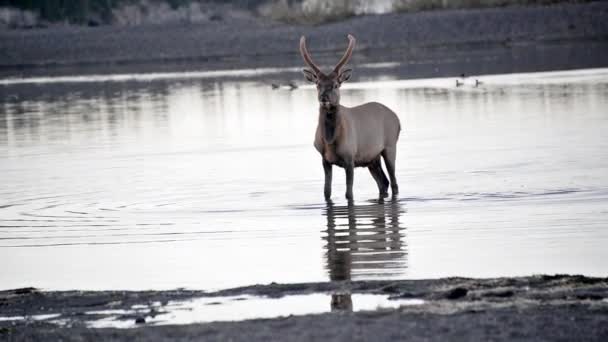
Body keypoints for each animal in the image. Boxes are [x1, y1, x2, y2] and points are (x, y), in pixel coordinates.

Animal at [298, 34, 400, 200]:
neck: (330, 141)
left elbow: (349, 193)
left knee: (394, 182)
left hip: (390, 146)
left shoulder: (350, 157)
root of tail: (397, 119)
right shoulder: (325, 159)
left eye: (335, 85)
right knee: (383, 182)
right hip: (372, 158)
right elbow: (326, 192)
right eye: (317, 84)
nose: (324, 98)